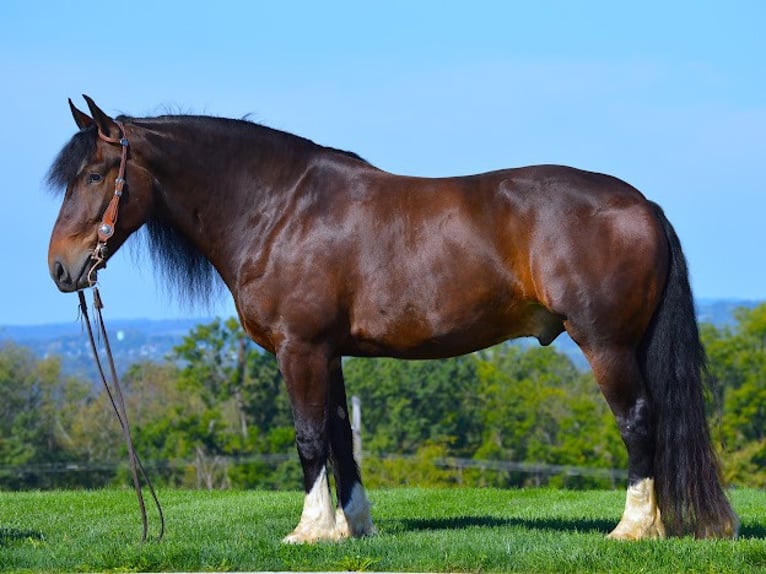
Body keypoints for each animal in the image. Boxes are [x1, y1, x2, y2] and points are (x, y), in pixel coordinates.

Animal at [46, 95, 736, 544]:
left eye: (96, 173)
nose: (60, 267)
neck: (279, 209)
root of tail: (642, 205)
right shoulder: (327, 352)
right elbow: (339, 437)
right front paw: (353, 527)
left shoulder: (299, 349)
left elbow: (308, 438)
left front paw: (310, 532)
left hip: (607, 344)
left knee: (639, 420)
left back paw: (633, 528)